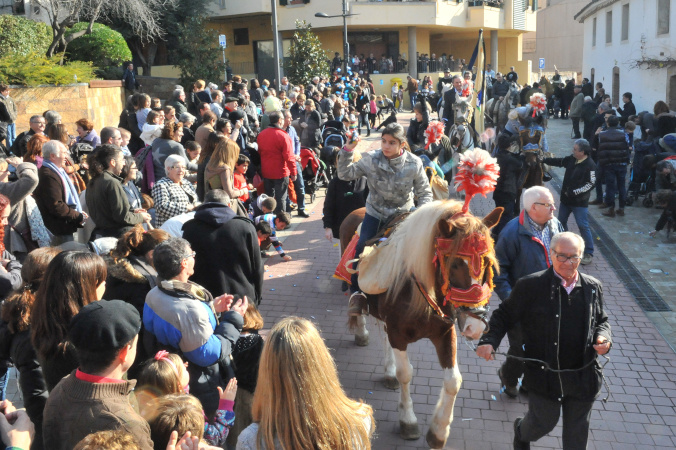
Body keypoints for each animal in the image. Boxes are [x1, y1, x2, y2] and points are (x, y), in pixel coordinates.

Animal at [338, 201, 502, 450]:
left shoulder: (444, 333)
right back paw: (362, 332)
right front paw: (408, 421)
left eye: (487, 262)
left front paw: (438, 432)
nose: (476, 324)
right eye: (454, 263)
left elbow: (454, 381)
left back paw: (388, 372)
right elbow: (406, 373)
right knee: (359, 306)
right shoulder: (398, 335)